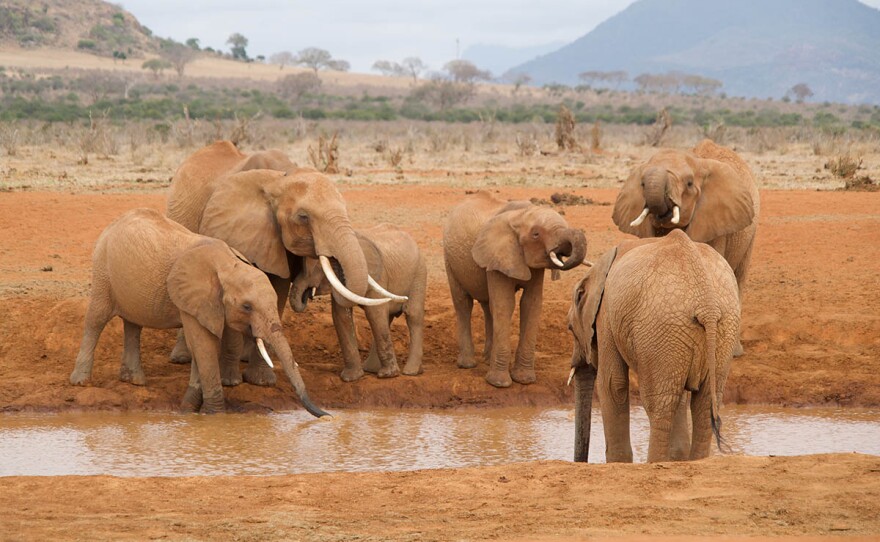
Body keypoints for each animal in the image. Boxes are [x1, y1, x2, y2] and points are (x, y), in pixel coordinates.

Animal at [69, 208, 329, 417]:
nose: (326, 415)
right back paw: (80, 381)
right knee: (96, 319)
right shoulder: (194, 299)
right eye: (247, 307)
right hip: (102, 270)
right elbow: (204, 345)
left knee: (133, 324)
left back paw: (135, 382)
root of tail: (113, 224)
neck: (228, 265)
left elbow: (203, 346)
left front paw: (190, 407)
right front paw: (214, 414)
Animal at [165, 141, 396, 384]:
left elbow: (277, 292)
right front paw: (236, 380)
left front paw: (261, 381)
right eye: (303, 217)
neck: (282, 178)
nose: (308, 293)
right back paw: (182, 358)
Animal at [290, 224, 427, 382]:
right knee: (387, 318)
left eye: (319, 266)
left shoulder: (377, 275)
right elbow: (341, 315)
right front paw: (351, 378)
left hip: (419, 273)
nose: (306, 295)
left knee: (412, 316)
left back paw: (411, 372)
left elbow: (374, 313)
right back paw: (371, 369)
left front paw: (388, 375)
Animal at [443, 190, 587, 388]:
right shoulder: (498, 254)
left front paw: (525, 380)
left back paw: (487, 359)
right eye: (536, 234)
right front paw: (499, 384)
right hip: (449, 259)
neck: (521, 215)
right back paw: (467, 364)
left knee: (489, 307)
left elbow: (530, 304)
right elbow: (505, 304)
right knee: (463, 303)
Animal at [567, 229, 740, 463]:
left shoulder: (606, 316)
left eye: (570, 328)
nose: (581, 461)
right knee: (702, 406)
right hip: (719, 330)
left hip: (662, 329)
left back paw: (654, 462)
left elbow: (613, 384)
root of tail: (707, 304)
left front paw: (619, 462)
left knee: (659, 405)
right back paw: (695, 461)